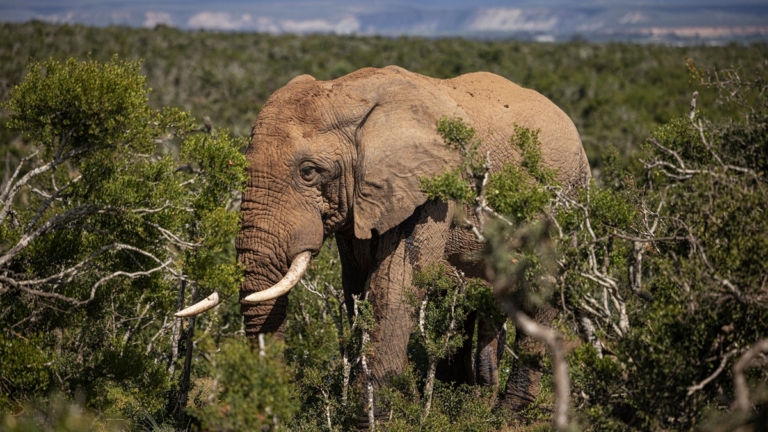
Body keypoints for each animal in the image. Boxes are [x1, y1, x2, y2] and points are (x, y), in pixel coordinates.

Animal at [177, 65, 590, 423]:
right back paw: (459, 402)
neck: (350, 97)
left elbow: (392, 286)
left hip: (565, 198)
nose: (272, 411)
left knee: (539, 292)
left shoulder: (429, 191)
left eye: (309, 172)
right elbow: (356, 288)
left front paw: (372, 419)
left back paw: (507, 413)